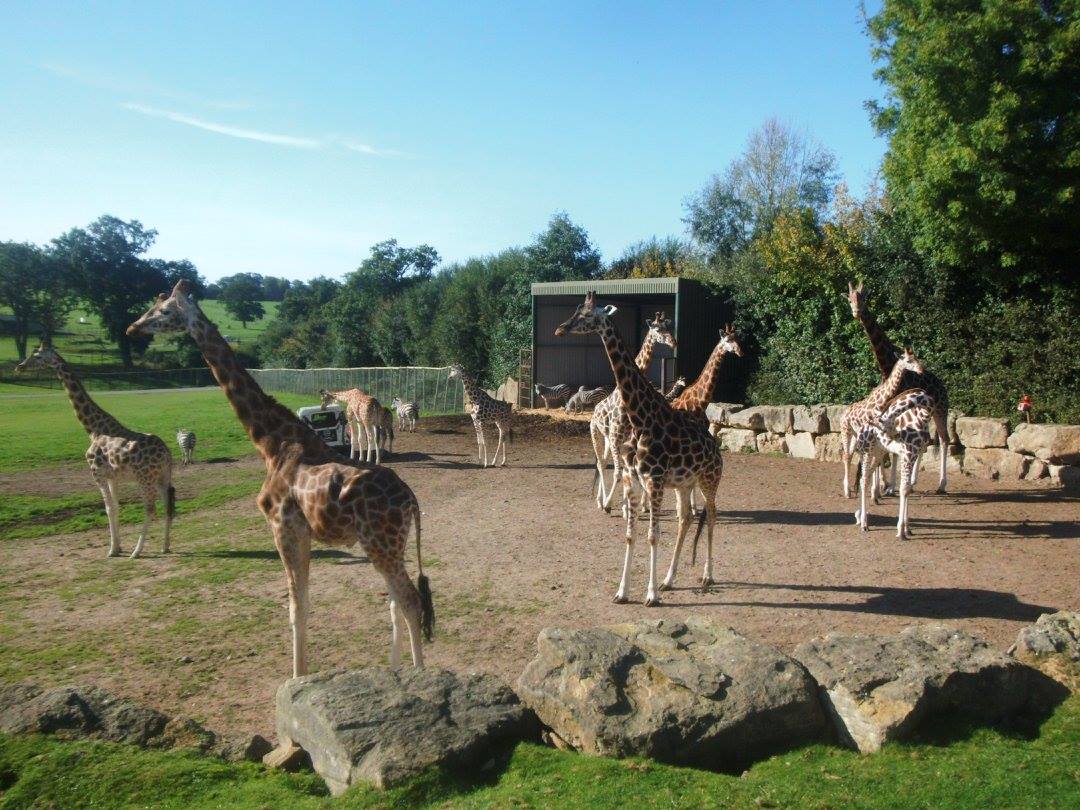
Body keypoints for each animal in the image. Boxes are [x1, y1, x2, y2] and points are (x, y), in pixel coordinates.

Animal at [15, 344, 174, 559]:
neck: (93, 429)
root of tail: (166, 454)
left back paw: (137, 551)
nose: (20, 367)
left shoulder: (96, 473)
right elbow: (116, 507)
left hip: (145, 478)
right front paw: (118, 546)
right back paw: (165, 546)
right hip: (162, 477)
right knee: (167, 505)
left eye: (37, 356)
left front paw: (112, 550)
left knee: (150, 508)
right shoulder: (113, 477)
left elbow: (108, 508)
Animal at [127, 281, 434, 679]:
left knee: (410, 601)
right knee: (397, 602)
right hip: (386, 545)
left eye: (163, 311)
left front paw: (298, 677)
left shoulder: (282, 525)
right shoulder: (300, 532)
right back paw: (397, 672)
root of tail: (411, 499)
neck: (271, 442)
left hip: (381, 542)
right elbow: (301, 604)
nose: (133, 328)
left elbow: (295, 608)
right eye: (153, 306)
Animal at [589, 312, 676, 514]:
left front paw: (626, 507)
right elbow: (619, 473)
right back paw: (601, 502)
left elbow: (630, 471)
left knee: (604, 462)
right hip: (597, 433)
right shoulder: (618, 439)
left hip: (609, 440)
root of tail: (594, 410)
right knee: (601, 463)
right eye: (658, 329)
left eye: (668, 327)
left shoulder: (627, 440)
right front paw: (612, 506)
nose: (673, 342)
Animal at [839, 348, 926, 499]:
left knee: (850, 455)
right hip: (846, 431)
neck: (882, 401)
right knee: (847, 455)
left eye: (917, 358)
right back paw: (847, 491)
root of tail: (843, 414)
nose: (921, 370)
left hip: (855, 434)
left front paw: (878, 490)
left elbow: (881, 458)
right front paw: (875, 490)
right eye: (909, 360)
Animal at [847, 281, 950, 493]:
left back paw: (941, 484)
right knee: (926, 440)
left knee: (944, 439)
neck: (886, 368)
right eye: (849, 299)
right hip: (926, 414)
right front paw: (885, 484)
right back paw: (912, 481)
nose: (856, 312)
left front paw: (889, 486)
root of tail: (943, 385)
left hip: (941, 410)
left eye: (863, 298)